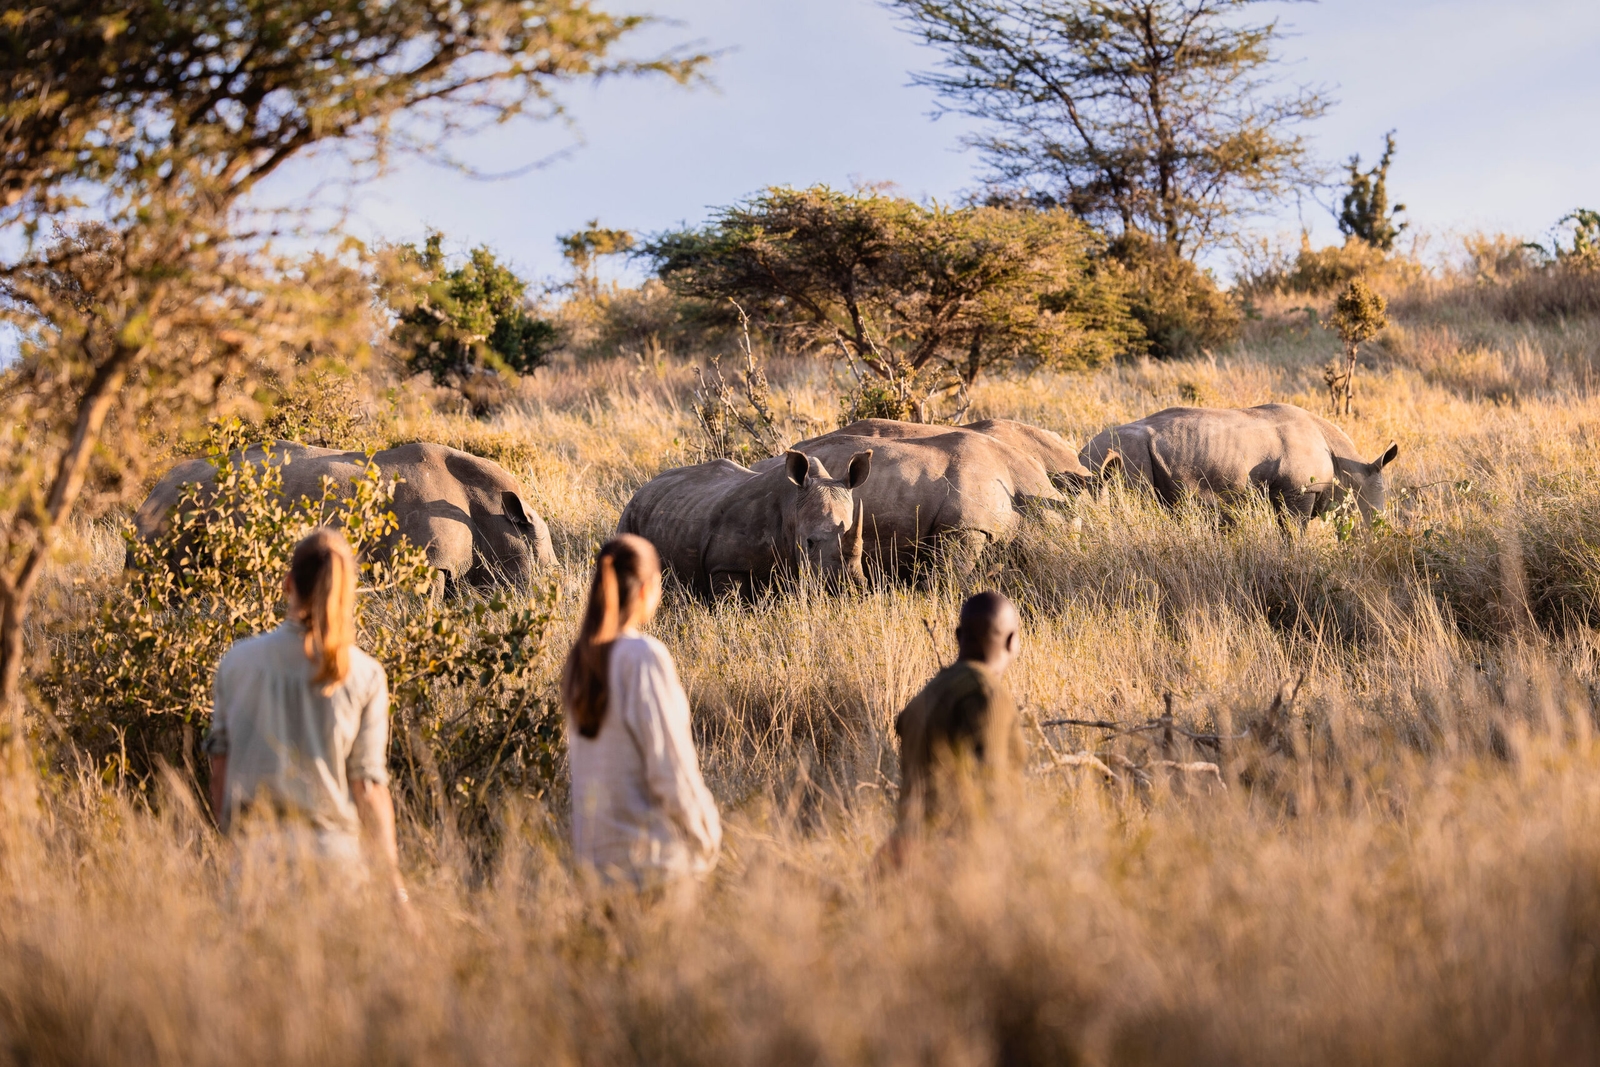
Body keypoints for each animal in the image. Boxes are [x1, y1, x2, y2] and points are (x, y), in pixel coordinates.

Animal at [616, 448, 873, 597]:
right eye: (809, 542)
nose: (849, 587)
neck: (792, 506)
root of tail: (643, 488)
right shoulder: (726, 566)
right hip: (630, 518)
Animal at [1079, 404, 1400, 524]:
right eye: (1370, 516)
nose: (1375, 539)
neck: (1348, 467)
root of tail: (1082, 452)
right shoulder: (1299, 492)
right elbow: (1293, 532)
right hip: (1125, 453)